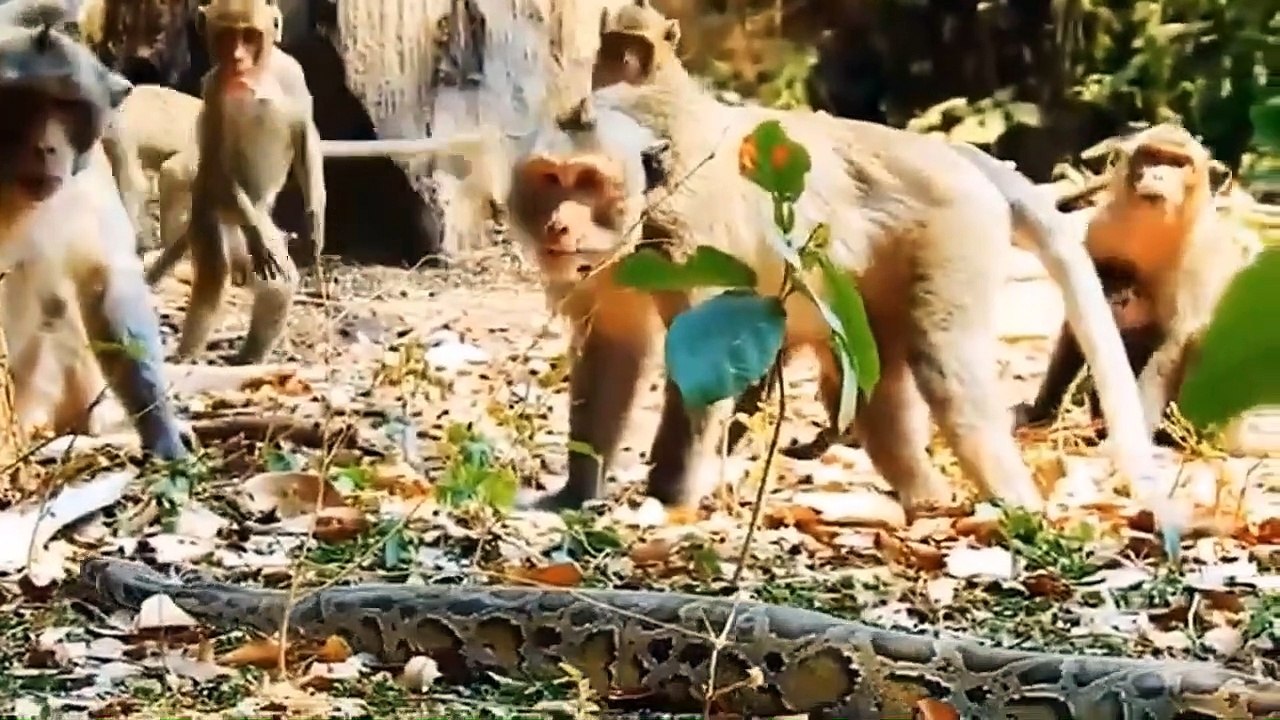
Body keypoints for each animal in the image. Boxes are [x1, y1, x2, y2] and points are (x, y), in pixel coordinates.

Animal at [0, 20, 189, 460]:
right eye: (23, 103)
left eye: (68, 107)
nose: (46, 147)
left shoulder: (86, 177)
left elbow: (106, 281)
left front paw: (162, 434)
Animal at [540, 0, 1173, 534]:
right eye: (612, 51)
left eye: (633, 53)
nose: (608, 82)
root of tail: (954, 159)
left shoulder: (679, 211)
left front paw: (667, 495)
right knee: (871, 377)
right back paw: (925, 496)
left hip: (952, 236)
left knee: (945, 368)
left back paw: (1015, 505)